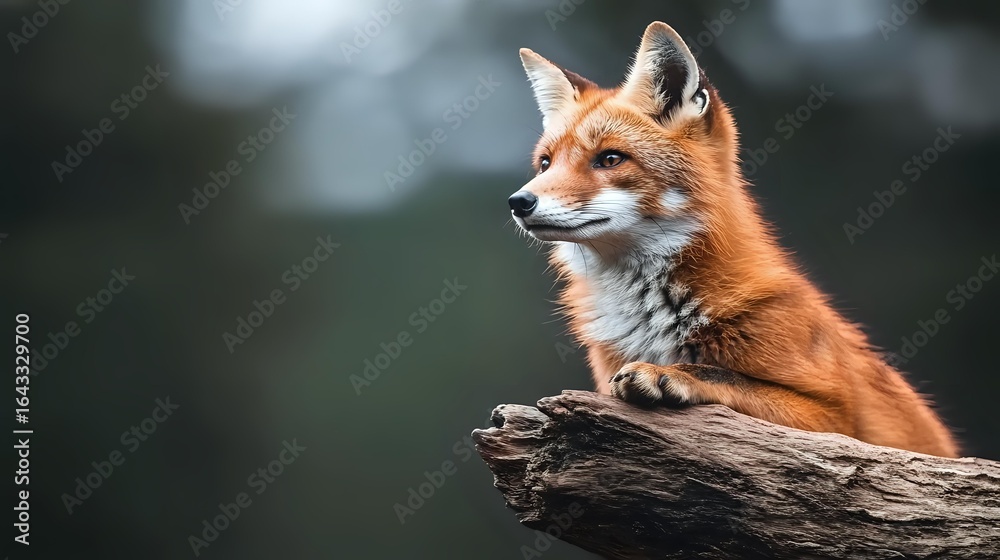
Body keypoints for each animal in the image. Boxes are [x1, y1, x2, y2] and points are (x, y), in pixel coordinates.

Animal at [508, 22, 958, 457]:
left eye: (611, 159)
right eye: (545, 163)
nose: (518, 202)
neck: (653, 319)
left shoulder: (835, 420)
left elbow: (728, 378)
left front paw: (672, 375)